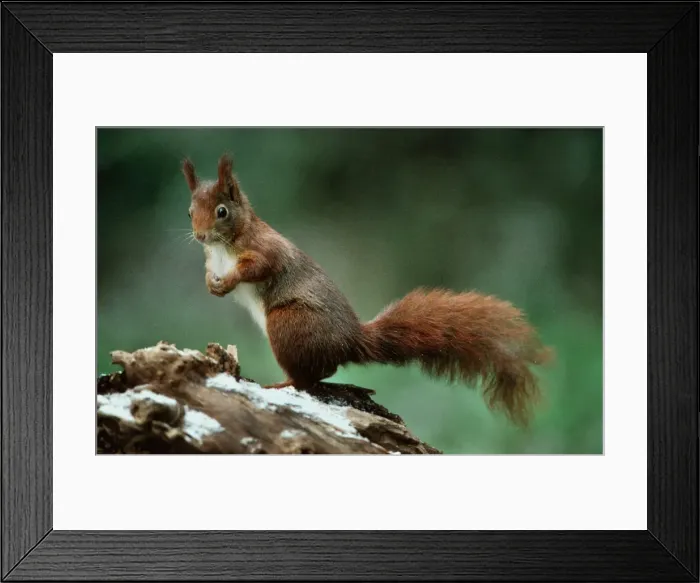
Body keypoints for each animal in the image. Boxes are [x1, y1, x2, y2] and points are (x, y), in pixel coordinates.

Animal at [183, 154, 552, 426]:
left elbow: (259, 267)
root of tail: (351, 341)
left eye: (221, 212)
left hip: (289, 322)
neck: (222, 247)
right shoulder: (212, 259)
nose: (199, 236)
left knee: (309, 377)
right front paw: (212, 285)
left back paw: (283, 383)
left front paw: (229, 281)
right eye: (189, 212)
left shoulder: (265, 250)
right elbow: (208, 272)